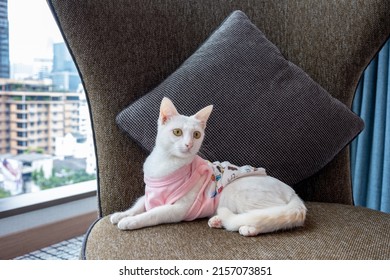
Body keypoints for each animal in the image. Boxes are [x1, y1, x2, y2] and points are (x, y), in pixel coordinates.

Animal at [111, 97, 306, 235]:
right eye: (177, 132)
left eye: (196, 134)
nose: (189, 144)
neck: (165, 163)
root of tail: (293, 194)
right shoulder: (148, 195)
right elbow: (138, 206)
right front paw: (122, 214)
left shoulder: (178, 209)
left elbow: (152, 213)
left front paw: (130, 221)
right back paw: (218, 220)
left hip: (238, 191)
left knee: (268, 216)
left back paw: (248, 227)